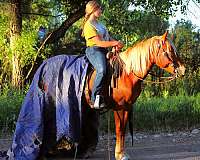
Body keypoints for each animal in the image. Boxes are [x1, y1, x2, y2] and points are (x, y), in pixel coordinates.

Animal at [83, 31, 185, 160]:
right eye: (170, 50)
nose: (183, 70)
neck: (126, 74)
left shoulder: (127, 106)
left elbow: (123, 130)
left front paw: (122, 153)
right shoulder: (119, 107)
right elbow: (119, 129)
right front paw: (119, 155)